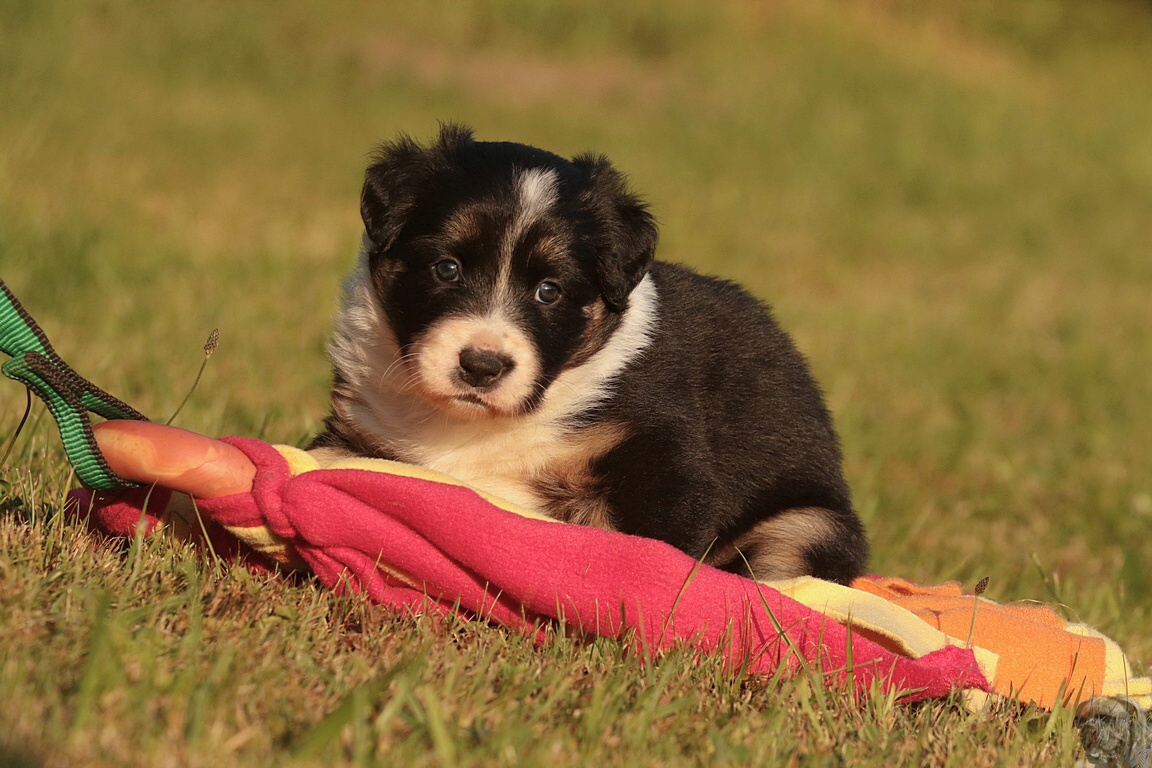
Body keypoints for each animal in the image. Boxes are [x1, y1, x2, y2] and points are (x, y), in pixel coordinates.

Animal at [310, 124, 869, 584]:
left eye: (549, 291)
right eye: (446, 268)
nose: (482, 367)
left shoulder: (662, 459)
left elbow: (646, 556)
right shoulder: (360, 432)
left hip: (807, 525)